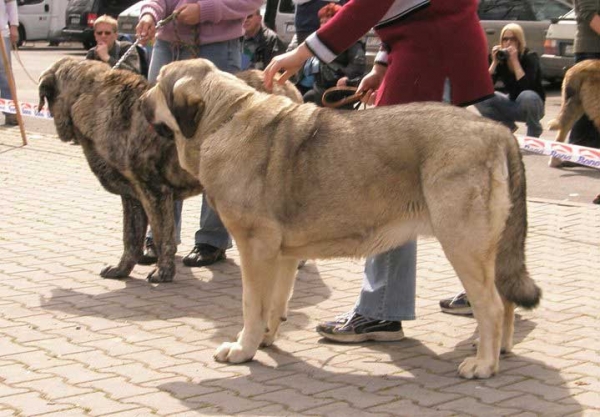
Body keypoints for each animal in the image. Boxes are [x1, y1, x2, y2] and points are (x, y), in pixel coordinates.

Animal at [37, 57, 300, 282]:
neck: (87, 98)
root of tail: (285, 85)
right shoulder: (132, 197)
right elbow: (130, 237)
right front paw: (122, 269)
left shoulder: (154, 192)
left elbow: (163, 235)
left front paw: (163, 272)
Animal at [142, 57, 544, 378]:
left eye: (159, 83)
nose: (143, 96)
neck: (224, 119)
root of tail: (497, 132)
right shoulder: (282, 256)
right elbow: (275, 303)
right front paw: (267, 339)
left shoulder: (254, 249)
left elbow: (251, 305)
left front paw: (243, 349)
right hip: (488, 249)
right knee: (505, 299)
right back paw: (497, 347)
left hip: (462, 244)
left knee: (491, 305)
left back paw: (484, 364)